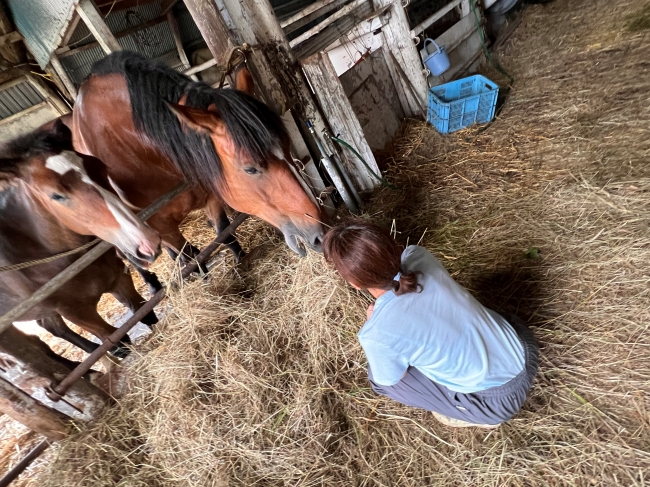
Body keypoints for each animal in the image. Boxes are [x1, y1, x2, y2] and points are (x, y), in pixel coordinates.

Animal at [0, 121, 161, 358]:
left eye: (100, 166)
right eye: (56, 196)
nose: (148, 243)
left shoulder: (118, 277)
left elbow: (145, 313)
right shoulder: (76, 312)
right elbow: (117, 339)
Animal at [72, 52, 324, 280]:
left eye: (288, 145)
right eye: (250, 169)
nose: (320, 232)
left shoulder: (212, 196)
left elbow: (224, 233)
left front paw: (241, 262)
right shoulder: (162, 228)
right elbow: (191, 256)